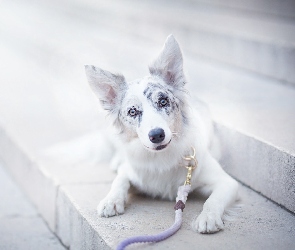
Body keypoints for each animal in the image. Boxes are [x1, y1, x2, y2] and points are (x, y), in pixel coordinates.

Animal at [84, 35, 239, 234]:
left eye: (163, 101)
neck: (161, 158)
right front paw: (111, 200)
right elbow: (120, 180)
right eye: (133, 111)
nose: (157, 135)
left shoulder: (227, 182)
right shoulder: (132, 171)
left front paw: (208, 217)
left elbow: (214, 199)